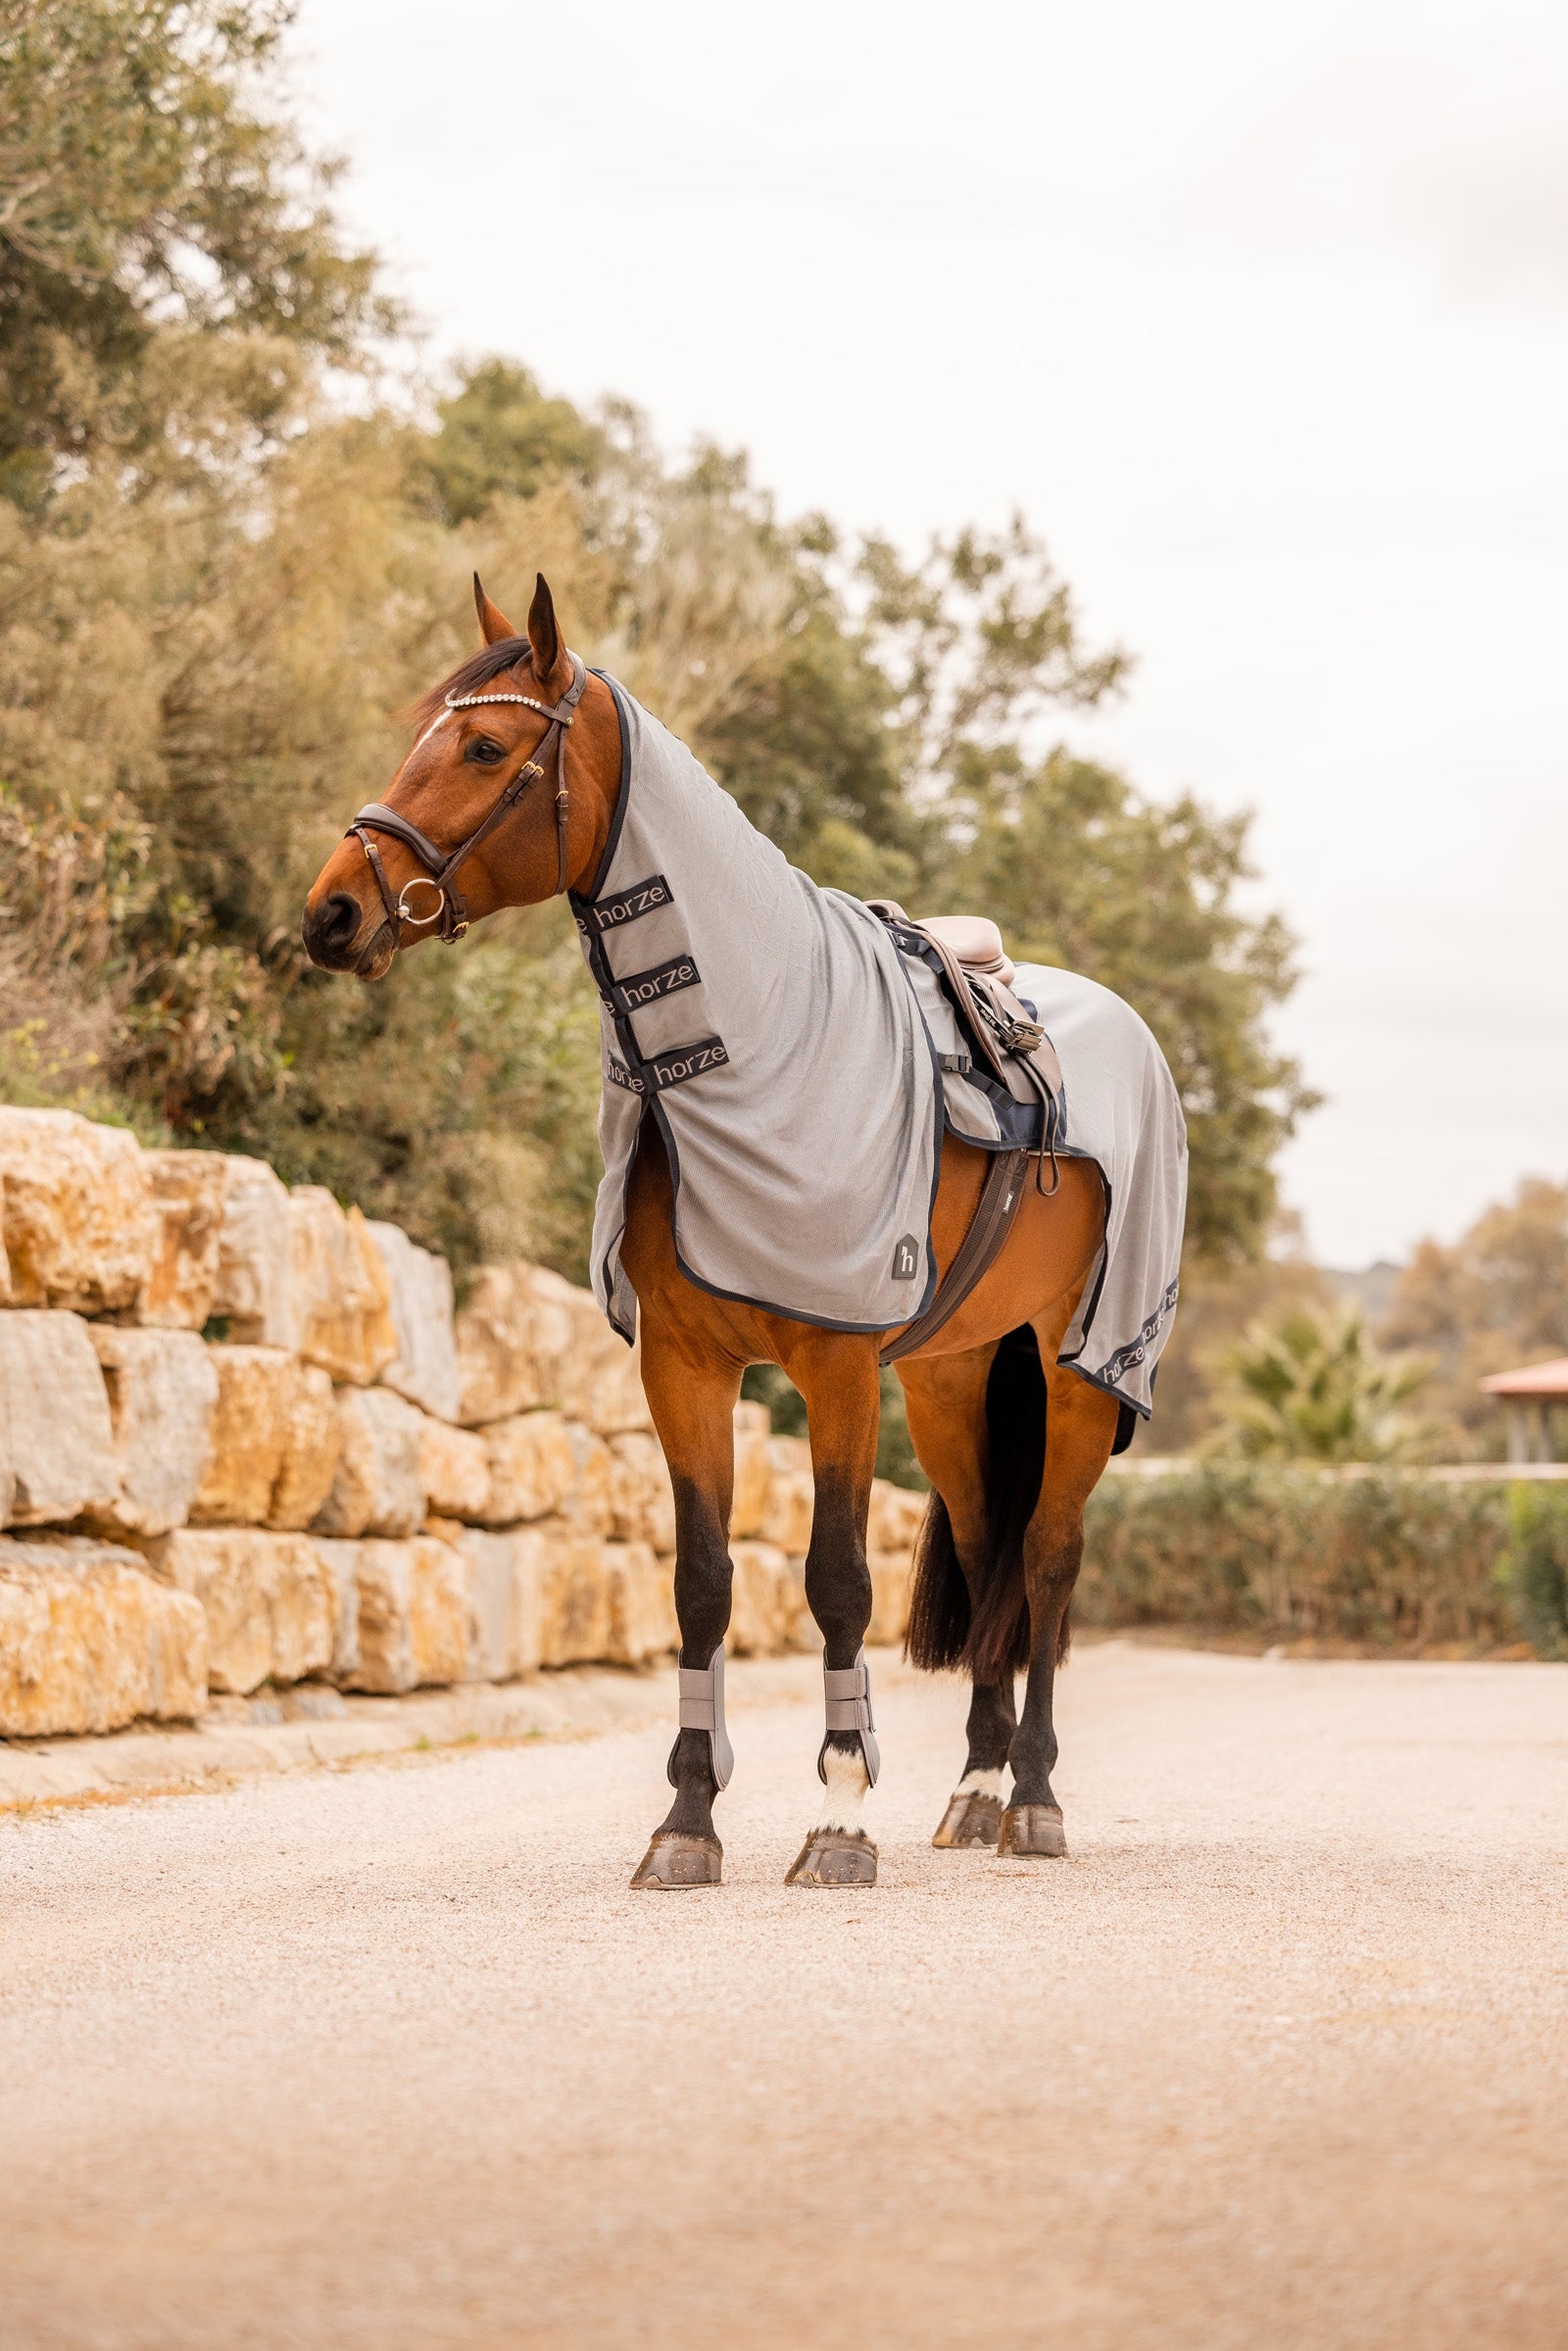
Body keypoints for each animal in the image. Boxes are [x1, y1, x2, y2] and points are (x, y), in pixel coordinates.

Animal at [302, 573, 1183, 1890]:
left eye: (485, 747)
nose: (333, 910)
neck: (759, 1056)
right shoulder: (686, 1366)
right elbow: (703, 1582)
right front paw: (685, 1818)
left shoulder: (836, 1369)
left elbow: (836, 1581)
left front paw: (839, 1816)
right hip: (951, 1378)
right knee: (988, 1551)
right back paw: (973, 1790)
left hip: (1078, 1368)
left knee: (1045, 1558)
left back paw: (1030, 1797)